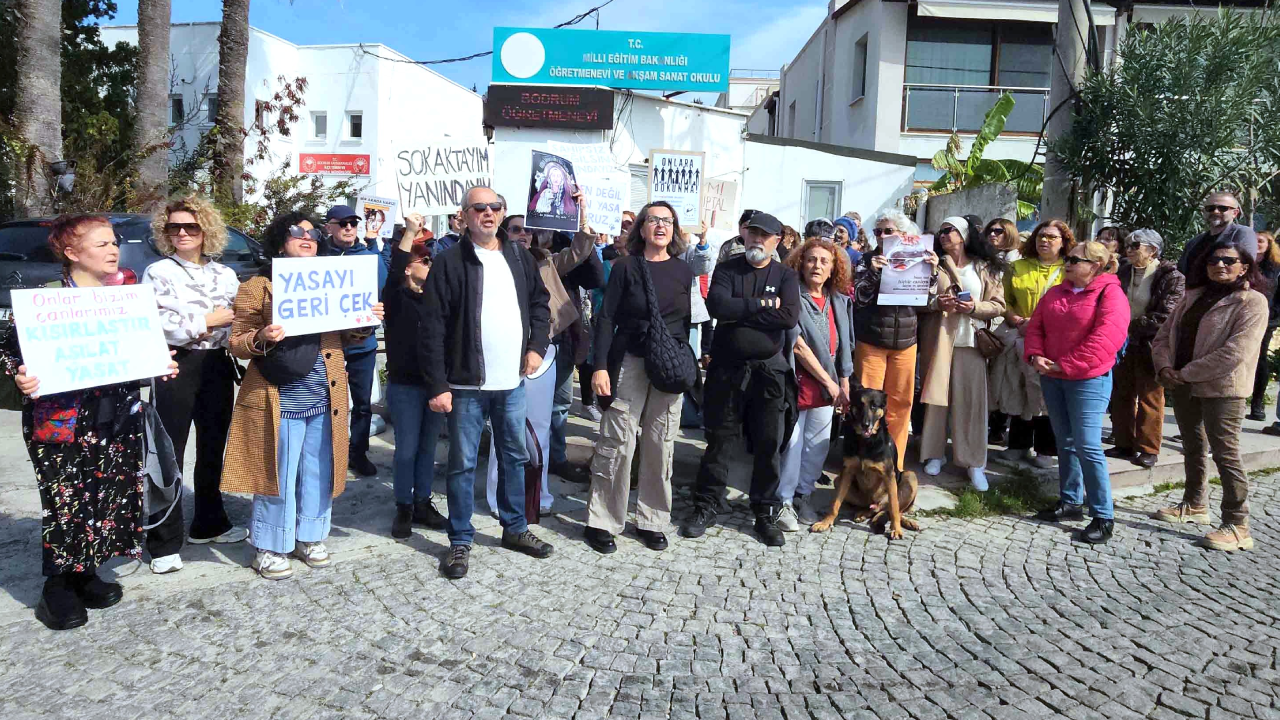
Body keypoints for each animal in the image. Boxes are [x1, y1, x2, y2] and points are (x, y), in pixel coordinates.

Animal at [809, 387, 919, 539]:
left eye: (874, 406)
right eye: (860, 405)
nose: (865, 425)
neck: (866, 441)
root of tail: (876, 503)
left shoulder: (889, 475)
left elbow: (894, 507)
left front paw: (896, 529)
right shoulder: (847, 472)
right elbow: (835, 503)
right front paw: (826, 522)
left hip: (910, 476)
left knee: (893, 509)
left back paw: (908, 522)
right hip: (839, 481)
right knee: (874, 510)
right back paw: (863, 513)